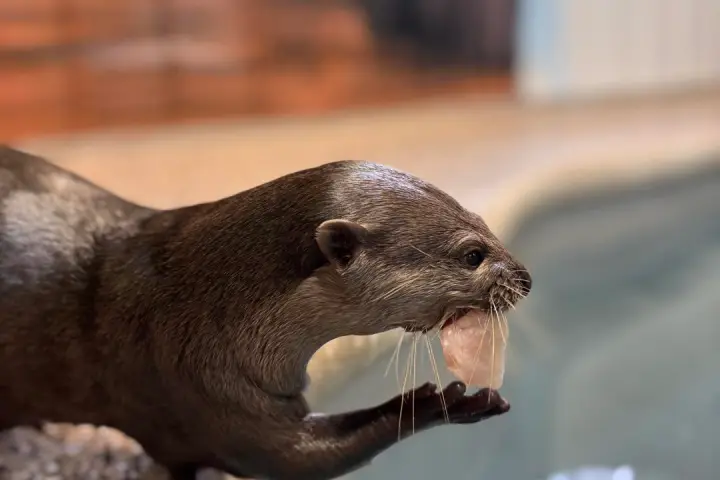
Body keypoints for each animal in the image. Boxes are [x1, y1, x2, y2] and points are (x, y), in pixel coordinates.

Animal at [0, 146, 531, 480]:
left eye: (483, 221)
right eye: (472, 254)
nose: (525, 278)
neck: (203, 304)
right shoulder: (199, 386)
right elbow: (291, 458)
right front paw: (439, 402)